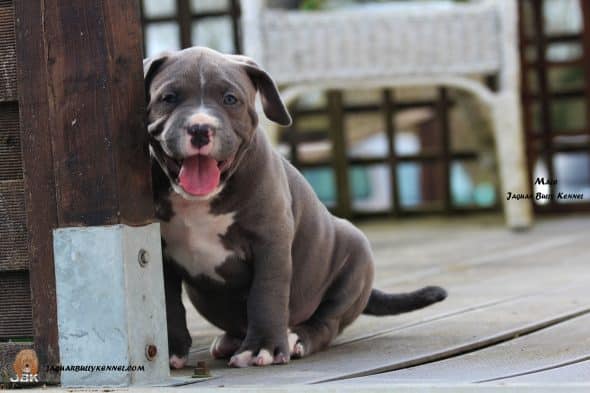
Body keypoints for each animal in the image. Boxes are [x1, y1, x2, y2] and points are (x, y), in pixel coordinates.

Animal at [146, 46, 446, 368]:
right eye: (168, 98)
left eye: (230, 99)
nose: (200, 128)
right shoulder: (161, 252)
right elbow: (166, 303)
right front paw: (171, 350)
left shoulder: (270, 243)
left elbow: (267, 294)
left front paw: (262, 347)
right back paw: (232, 341)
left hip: (355, 256)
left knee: (326, 323)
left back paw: (297, 339)